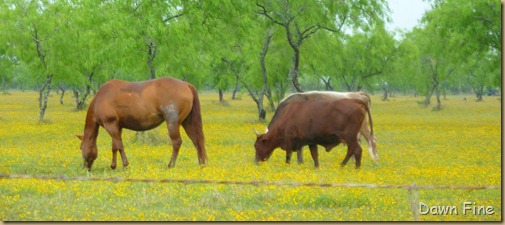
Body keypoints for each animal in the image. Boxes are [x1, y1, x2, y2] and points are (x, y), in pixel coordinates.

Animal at [75, 77, 209, 171]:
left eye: (81, 147)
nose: (85, 168)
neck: (101, 98)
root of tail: (186, 84)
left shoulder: (111, 126)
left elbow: (119, 146)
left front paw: (125, 164)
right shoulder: (117, 127)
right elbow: (114, 147)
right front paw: (113, 166)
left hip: (172, 123)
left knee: (177, 142)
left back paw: (171, 165)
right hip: (188, 122)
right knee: (197, 141)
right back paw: (202, 164)